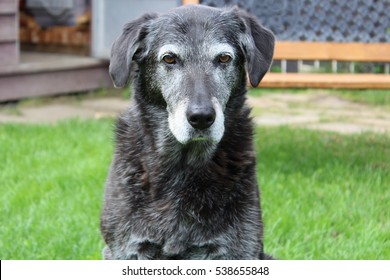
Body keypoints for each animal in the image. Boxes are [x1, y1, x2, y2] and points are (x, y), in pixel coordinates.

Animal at [100, 3, 274, 260]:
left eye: (224, 58)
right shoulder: (126, 248)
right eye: (169, 58)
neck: (182, 167)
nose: (201, 117)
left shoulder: (239, 249)